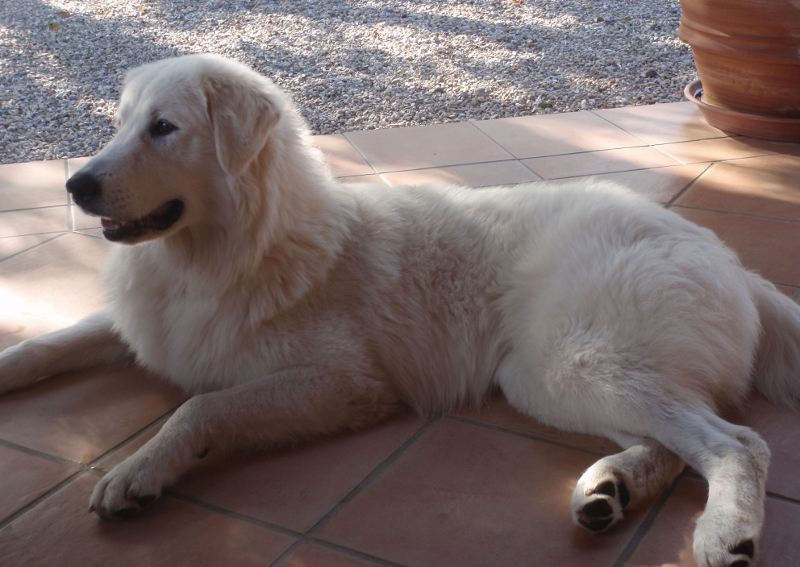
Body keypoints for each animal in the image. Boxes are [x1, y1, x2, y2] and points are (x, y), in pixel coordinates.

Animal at [1, 54, 798, 567]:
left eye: (163, 128)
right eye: (120, 124)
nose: (75, 186)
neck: (230, 250)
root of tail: (730, 260)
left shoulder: (343, 384)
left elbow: (201, 408)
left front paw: (142, 469)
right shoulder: (145, 326)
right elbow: (51, 342)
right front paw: (12, 366)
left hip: (570, 363)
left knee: (736, 442)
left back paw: (722, 533)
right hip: (548, 380)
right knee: (674, 445)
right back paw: (609, 491)